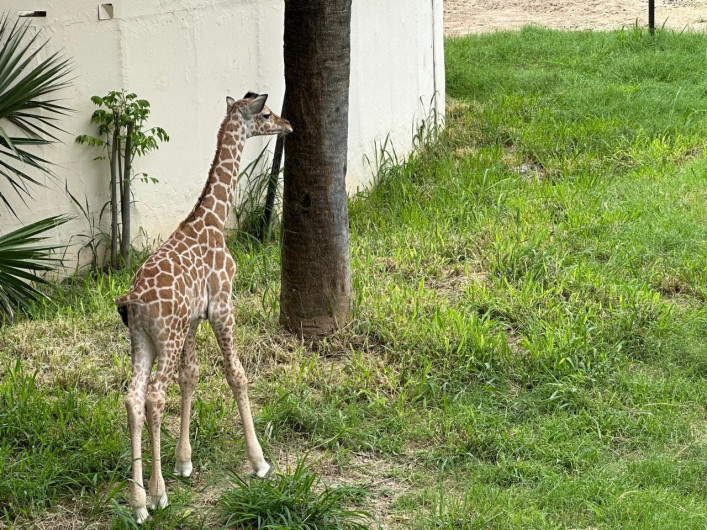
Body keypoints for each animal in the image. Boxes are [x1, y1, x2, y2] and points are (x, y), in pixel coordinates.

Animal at [115, 92, 292, 524]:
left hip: (142, 341)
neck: (213, 220)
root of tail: (133, 303)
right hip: (166, 337)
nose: (288, 125)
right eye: (265, 114)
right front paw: (259, 462)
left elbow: (191, 377)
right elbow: (237, 375)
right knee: (153, 397)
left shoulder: (195, 319)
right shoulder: (223, 305)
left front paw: (184, 462)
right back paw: (158, 496)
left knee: (133, 398)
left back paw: (138, 503)